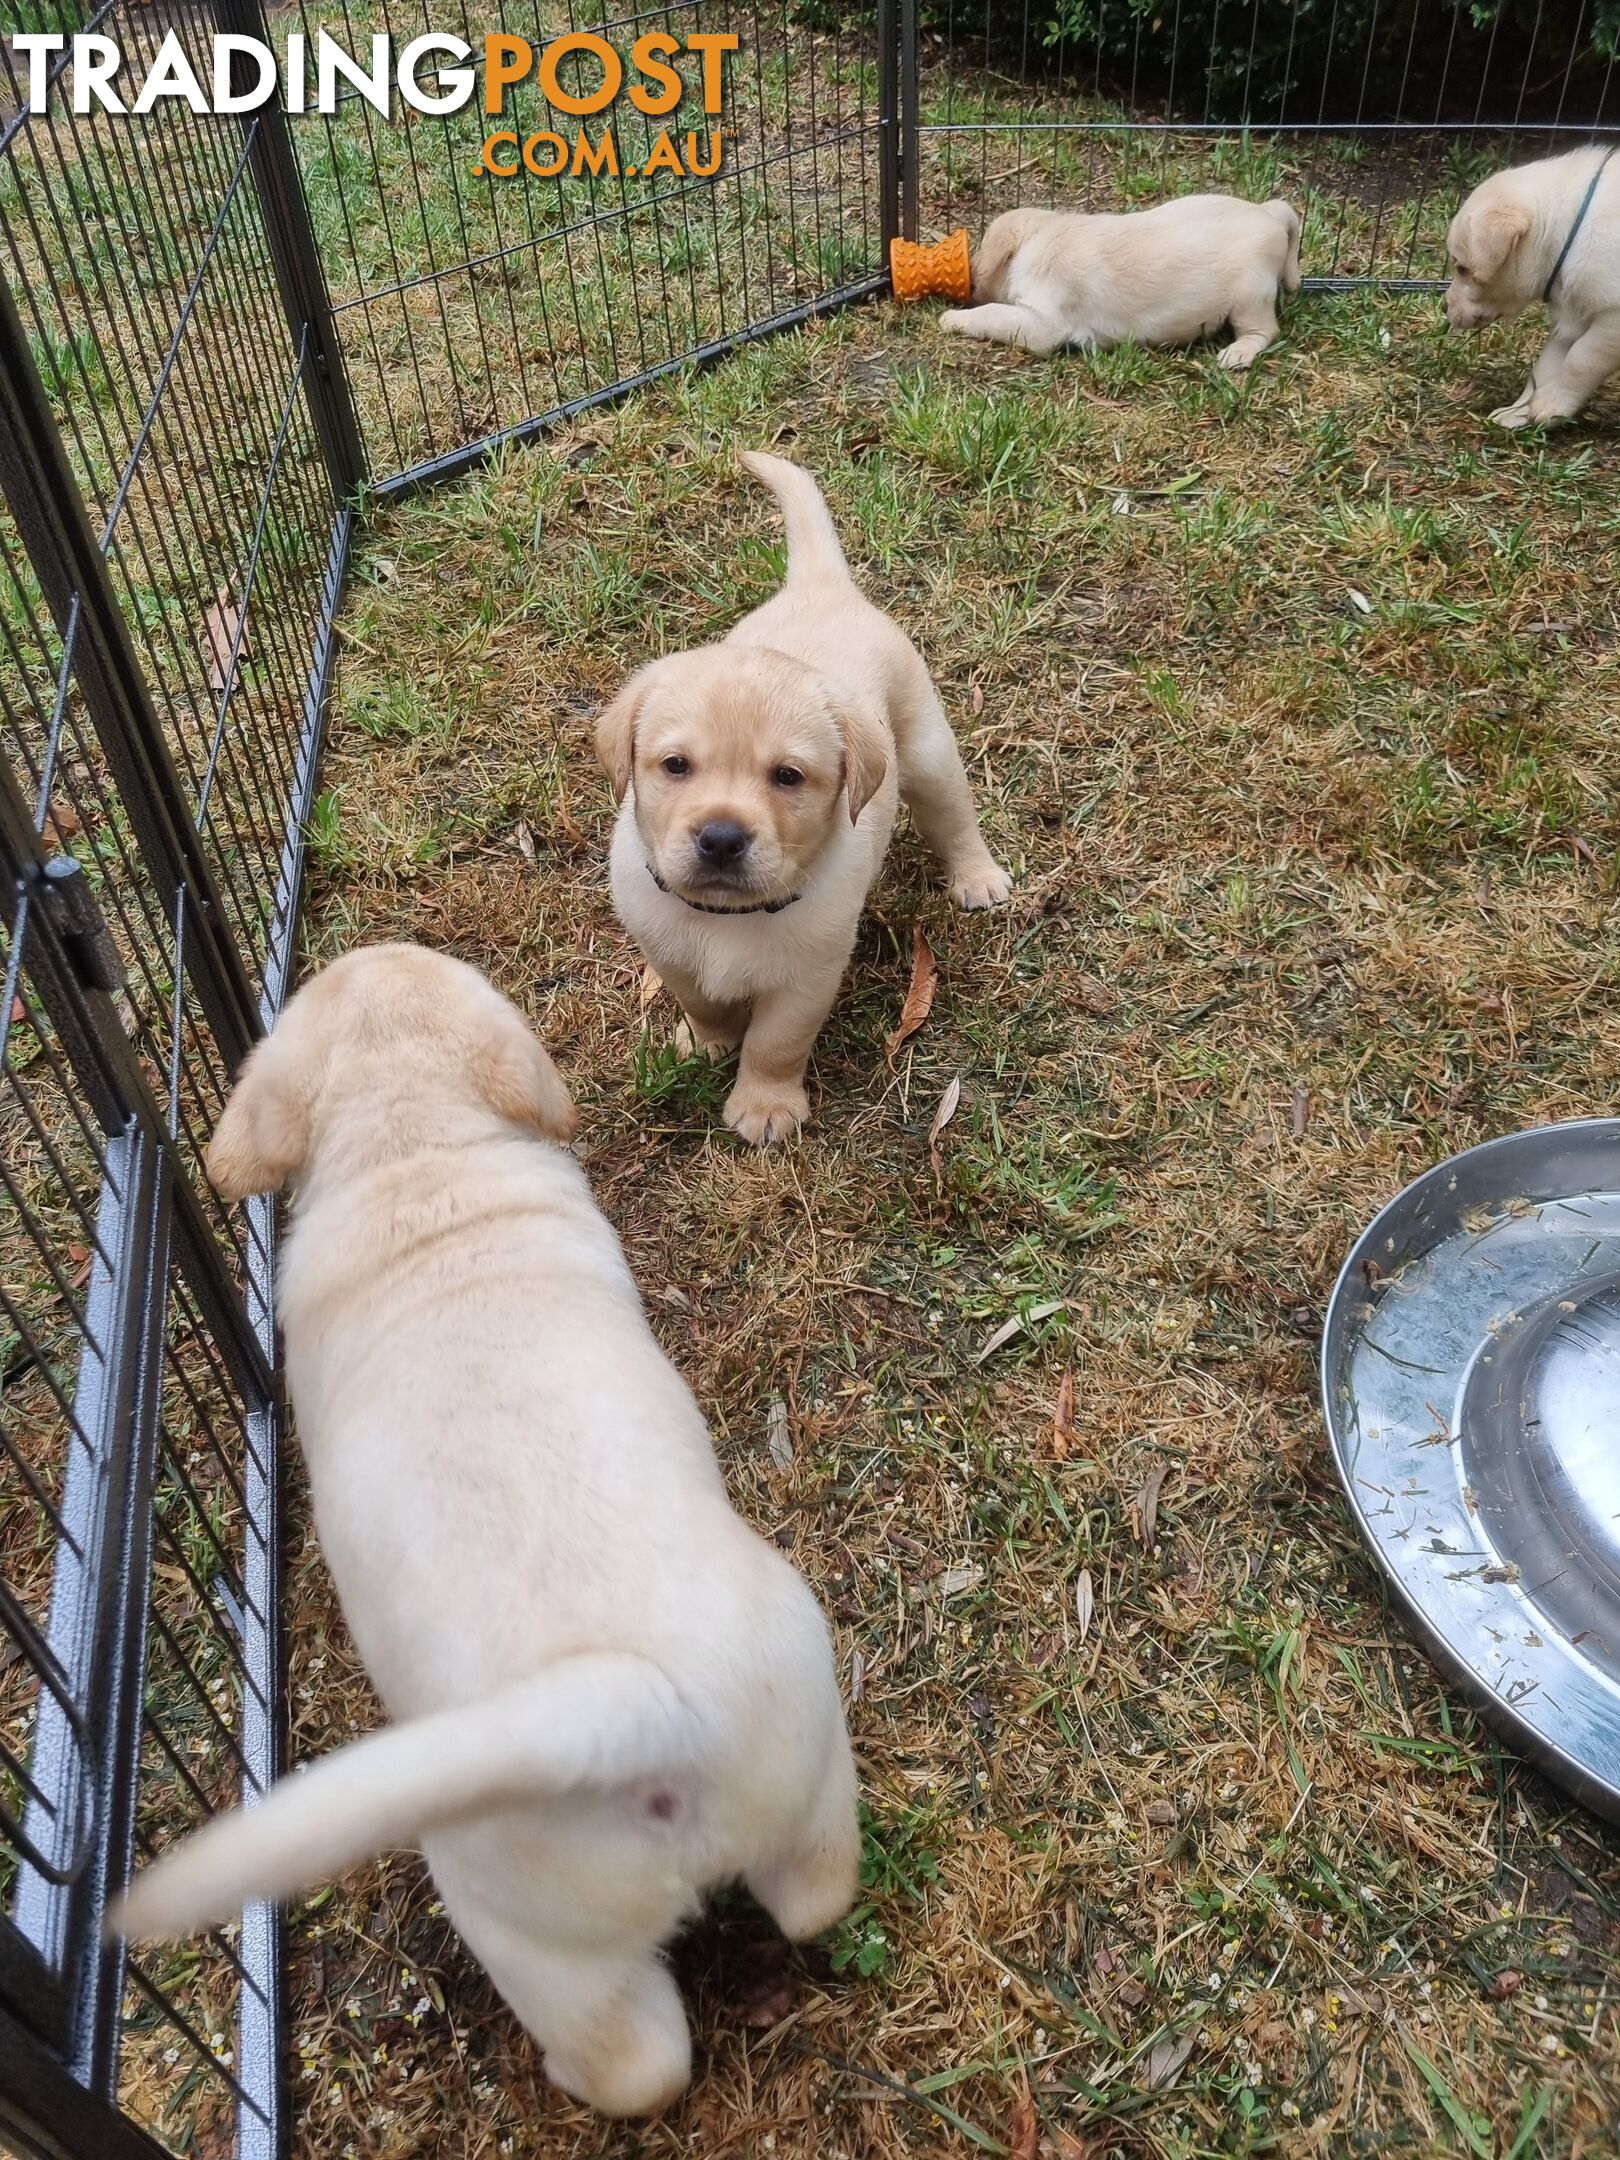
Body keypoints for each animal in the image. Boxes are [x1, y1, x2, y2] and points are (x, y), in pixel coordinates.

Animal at [106, 950, 864, 2125]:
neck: (413, 1154)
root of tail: (628, 1707)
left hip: (529, 1929)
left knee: (633, 2060)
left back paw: (565, 2073)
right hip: (806, 1765)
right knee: (815, 1899)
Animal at [604, 451, 1015, 1149]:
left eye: (788, 777)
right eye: (676, 766)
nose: (721, 839)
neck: (726, 918)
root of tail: (823, 587)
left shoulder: (808, 979)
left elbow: (776, 1044)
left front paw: (765, 1106)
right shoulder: (668, 951)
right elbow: (705, 1004)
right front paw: (707, 1044)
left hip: (928, 752)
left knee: (954, 818)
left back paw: (977, 877)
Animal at [937, 192, 1304, 369]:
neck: (1041, 237)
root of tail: (1269, 213)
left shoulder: (1041, 323)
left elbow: (992, 314)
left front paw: (952, 318)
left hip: (1249, 296)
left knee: (1265, 331)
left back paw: (1237, 353)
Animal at [1442, 145, 1620, 427]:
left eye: (1463, 269)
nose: (1443, 306)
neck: (1570, 233)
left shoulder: (1612, 320)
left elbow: (1580, 359)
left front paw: (1552, 405)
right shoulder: (1572, 316)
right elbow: (1545, 368)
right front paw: (1518, 412)